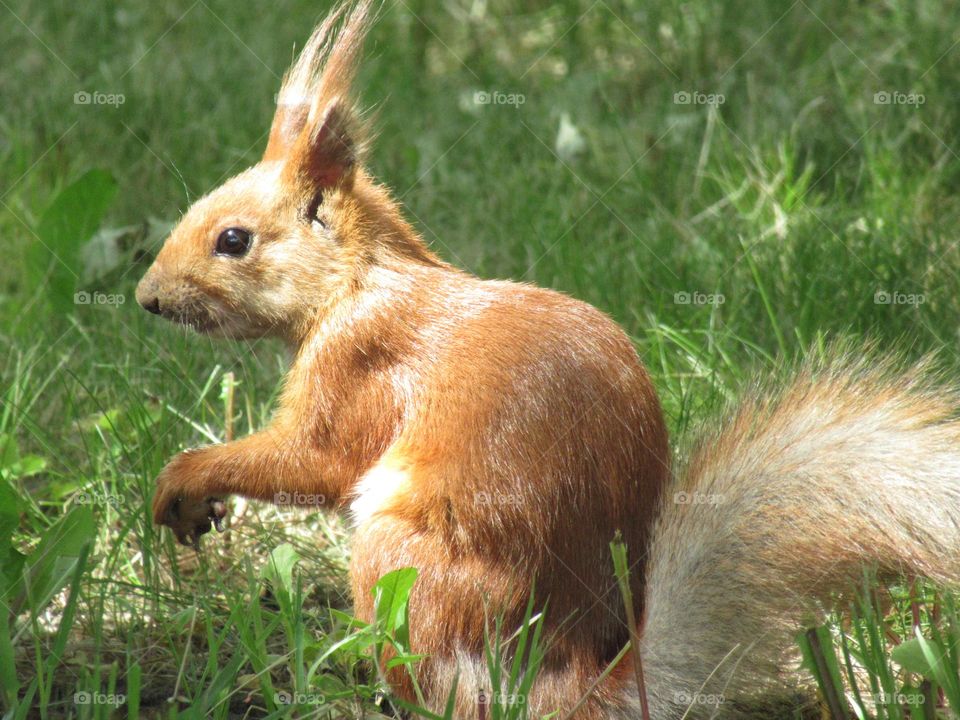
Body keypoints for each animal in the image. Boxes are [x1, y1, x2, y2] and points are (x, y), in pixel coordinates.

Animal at [136, 3, 960, 718]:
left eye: (233, 239)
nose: (147, 297)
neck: (361, 281)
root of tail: (572, 686)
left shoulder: (356, 367)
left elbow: (315, 461)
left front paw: (187, 477)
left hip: (402, 563)